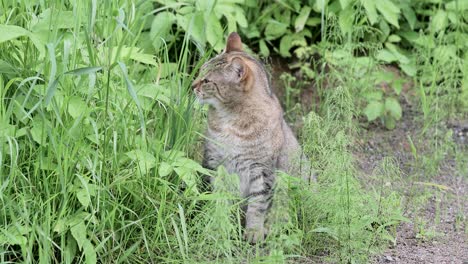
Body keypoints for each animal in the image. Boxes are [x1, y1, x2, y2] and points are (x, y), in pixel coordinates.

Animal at [192, 32, 312, 243]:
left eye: (206, 81)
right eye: (200, 72)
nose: (192, 86)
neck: (231, 121)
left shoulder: (262, 169)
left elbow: (257, 204)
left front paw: (254, 231)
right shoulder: (215, 163)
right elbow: (218, 200)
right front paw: (218, 226)